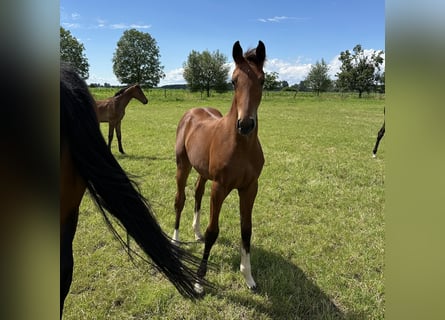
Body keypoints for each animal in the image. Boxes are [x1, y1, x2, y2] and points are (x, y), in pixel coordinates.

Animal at [59, 63, 209, 318]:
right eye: (139, 91)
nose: (147, 101)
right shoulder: (111, 122)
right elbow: (112, 136)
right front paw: (114, 150)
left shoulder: (116, 123)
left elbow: (118, 136)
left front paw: (120, 150)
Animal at [172, 40, 266, 292]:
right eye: (233, 81)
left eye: (262, 80)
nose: (245, 124)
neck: (241, 146)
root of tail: (192, 112)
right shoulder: (220, 187)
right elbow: (213, 231)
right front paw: (199, 280)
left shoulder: (250, 188)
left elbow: (246, 230)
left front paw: (249, 277)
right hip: (183, 165)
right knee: (180, 200)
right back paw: (175, 239)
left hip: (203, 172)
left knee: (197, 193)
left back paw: (195, 233)